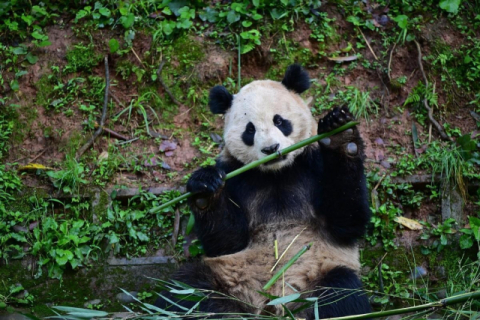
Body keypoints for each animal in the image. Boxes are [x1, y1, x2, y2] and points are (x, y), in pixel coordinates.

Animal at [156, 63, 374, 318]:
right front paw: (204, 190)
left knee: (341, 293)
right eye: (249, 130)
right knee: (188, 292)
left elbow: (346, 220)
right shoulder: (235, 175)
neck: (276, 173)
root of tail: (272, 304)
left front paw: (340, 136)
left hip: (317, 273)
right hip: (229, 276)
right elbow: (227, 241)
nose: (271, 148)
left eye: (280, 121)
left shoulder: (312, 163)